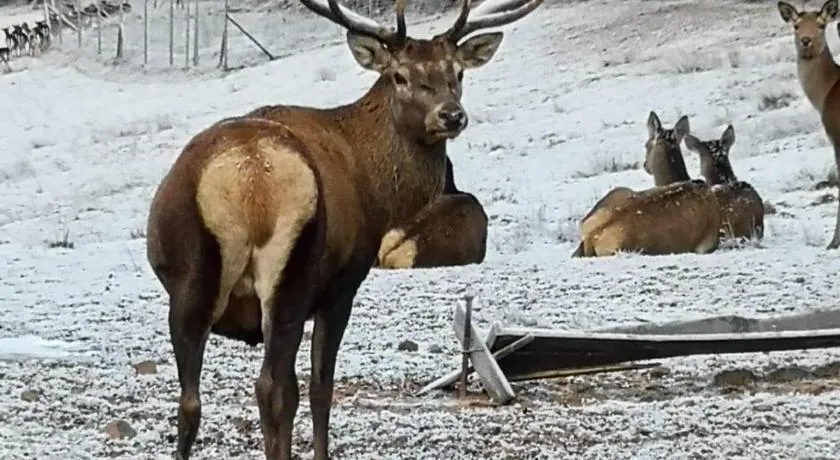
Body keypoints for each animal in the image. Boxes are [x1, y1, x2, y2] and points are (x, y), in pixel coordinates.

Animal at [144, 0, 544, 459]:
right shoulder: (342, 284)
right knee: (271, 388)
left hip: (188, 281)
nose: (451, 115)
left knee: (190, 402)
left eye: (457, 73)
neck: (378, 191)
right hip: (293, 277)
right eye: (399, 75)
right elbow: (320, 389)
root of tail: (250, 174)